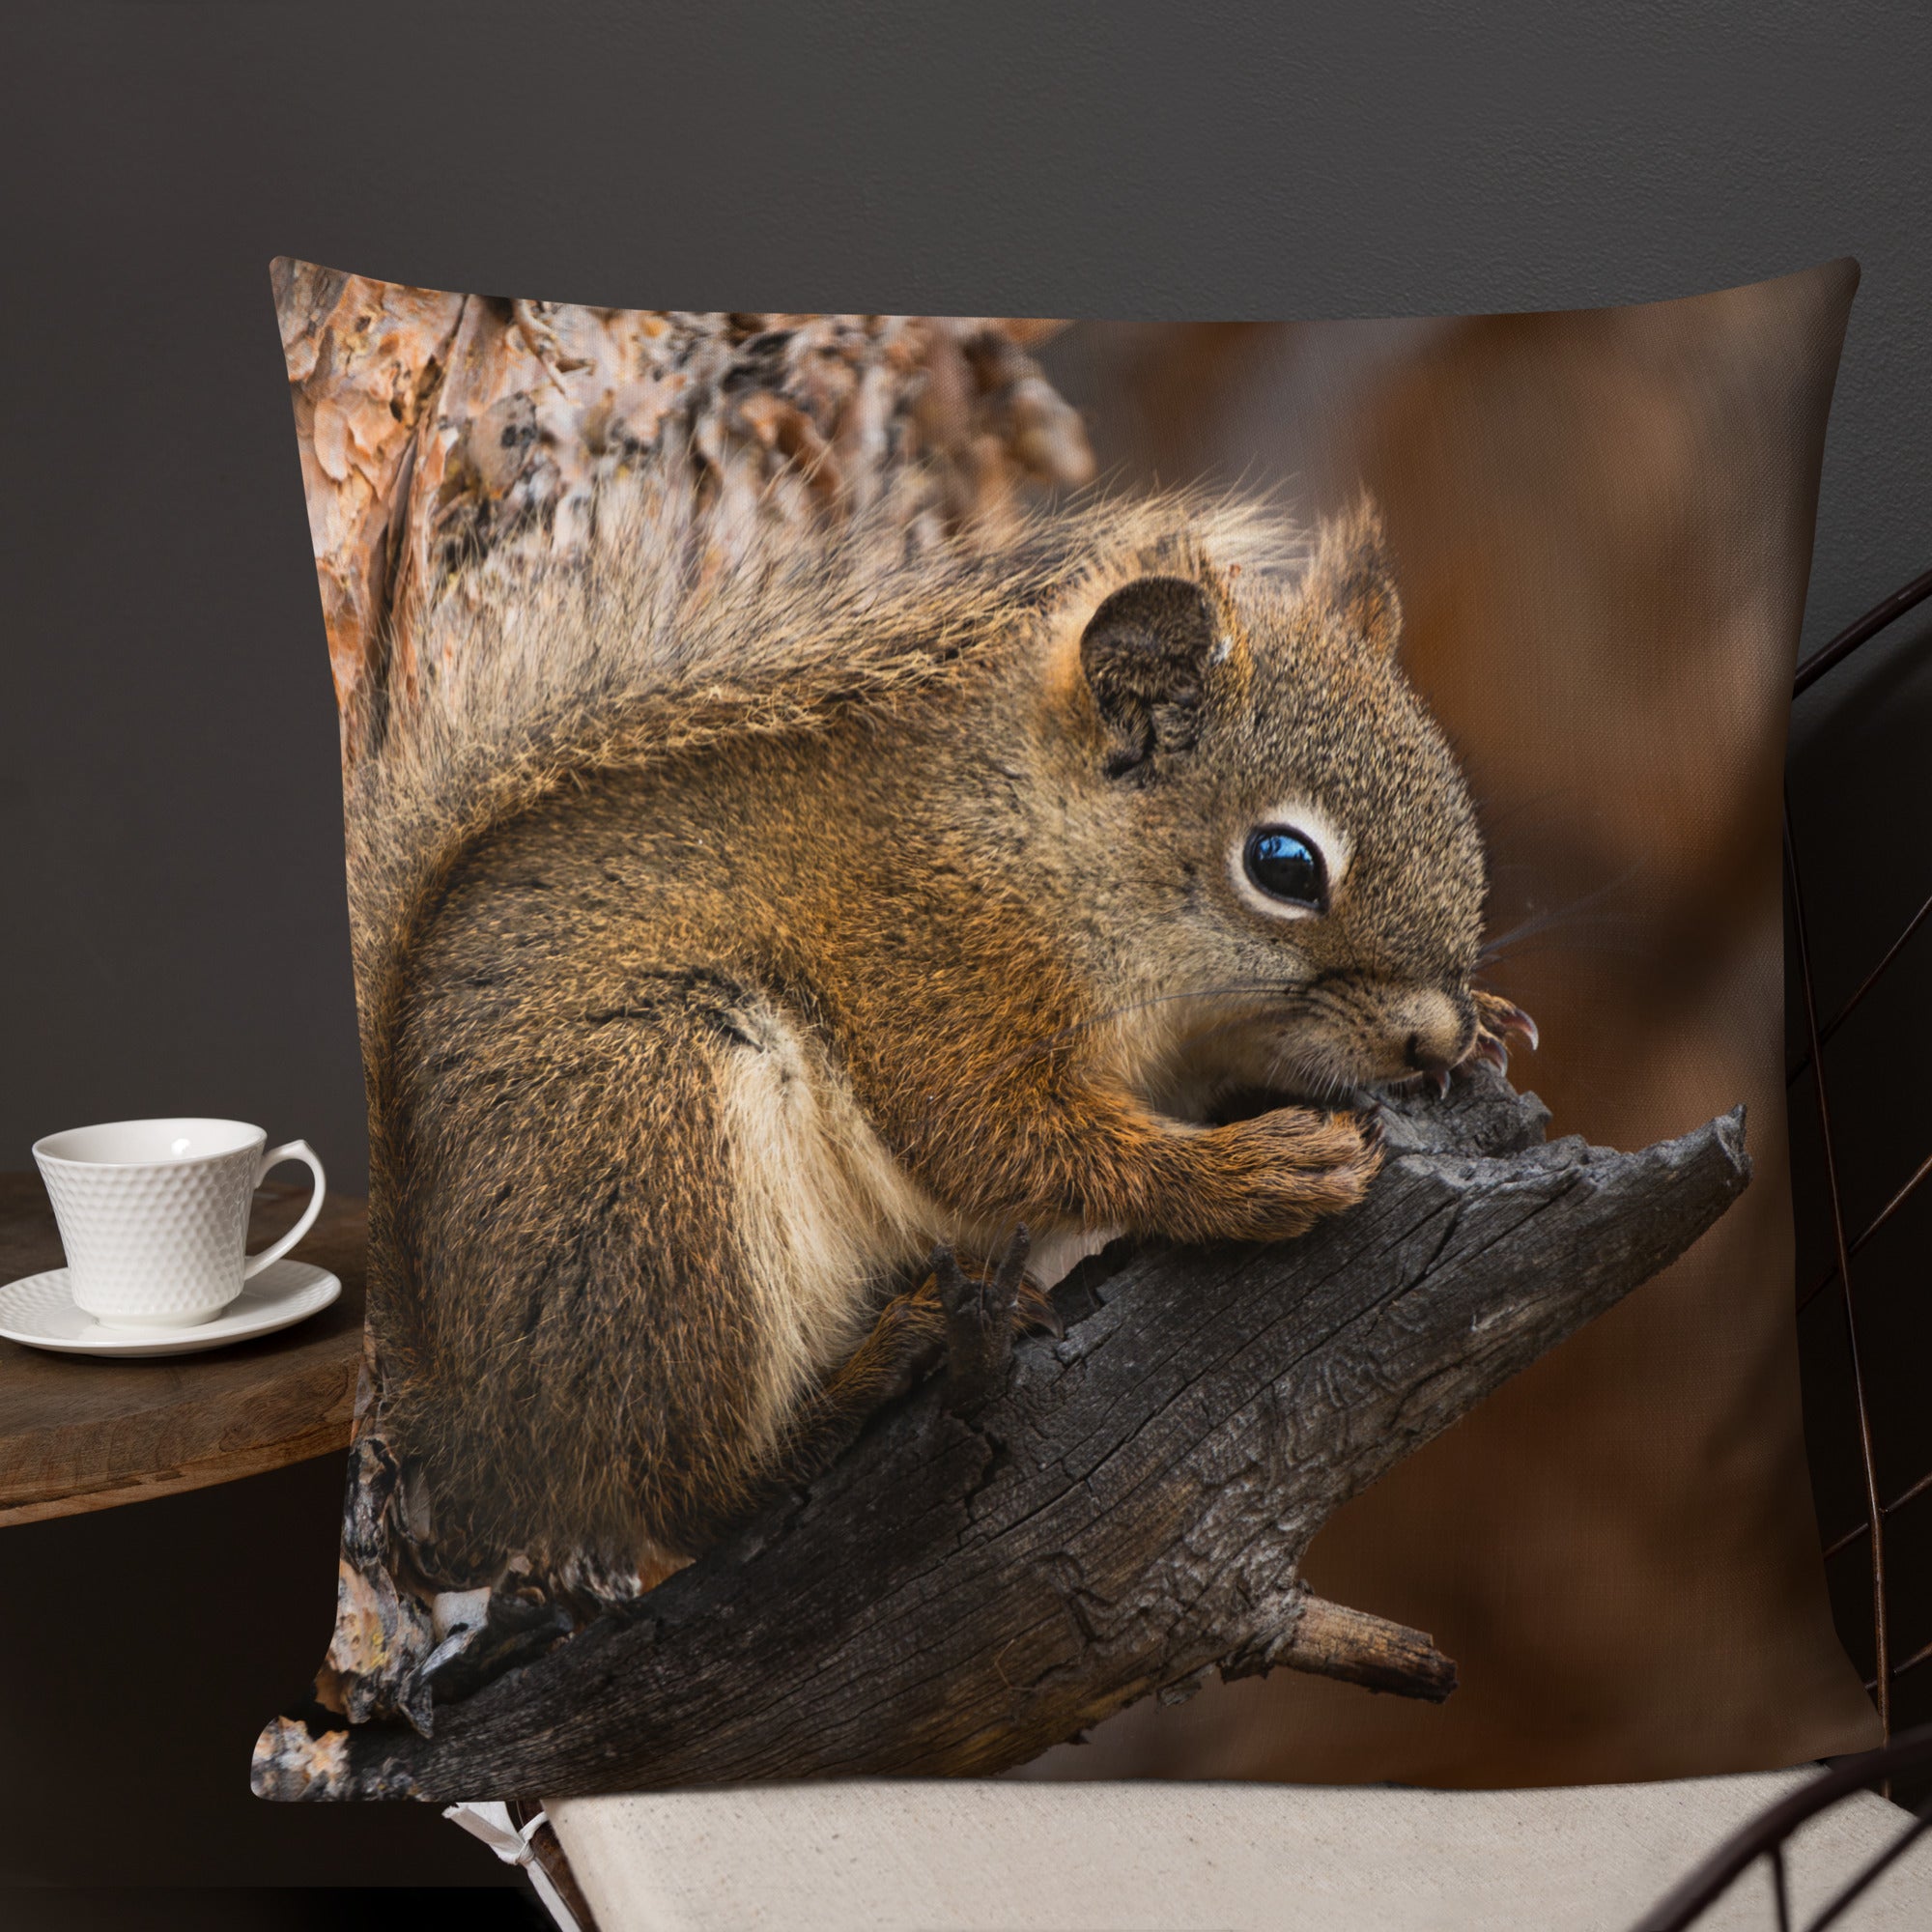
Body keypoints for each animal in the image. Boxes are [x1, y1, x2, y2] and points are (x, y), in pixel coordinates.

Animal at [347, 488, 1531, 1588]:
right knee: (688, 1492)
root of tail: (476, 1414)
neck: (1038, 840)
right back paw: (871, 1375)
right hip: (653, 1152)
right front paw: (1256, 1173)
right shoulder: (934, 967)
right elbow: (990, 1137)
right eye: (1284, 863)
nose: (1431, 1039)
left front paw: (1489, 1029)